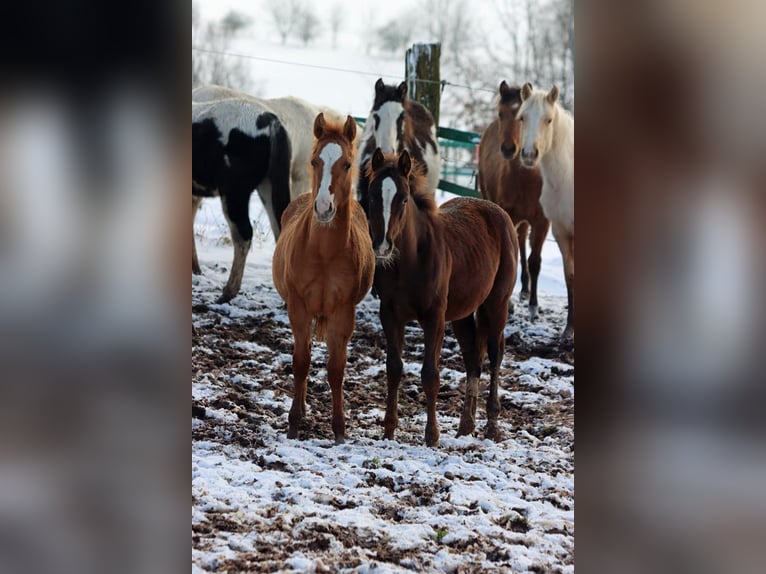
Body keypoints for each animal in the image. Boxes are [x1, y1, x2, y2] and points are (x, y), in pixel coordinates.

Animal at [272, 113, 375, 444]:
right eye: (315, 160)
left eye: (347, 164)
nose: (323, 208)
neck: (324, 254)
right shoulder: (298, 307)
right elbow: (301, 362)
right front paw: (293, 423)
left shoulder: (343, 313)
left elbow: (336, 369)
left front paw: (339, 430)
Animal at [367, 148, 518, 447]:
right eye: (372, 195)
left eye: (403, 198)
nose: (382, 246)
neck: (409, 261)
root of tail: (499, 213)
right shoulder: (389, 314)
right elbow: (393, 368)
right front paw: (388, 430)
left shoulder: (434, 317)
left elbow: (430, 374)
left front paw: (432, 436)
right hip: (462, 313)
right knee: (473, 358)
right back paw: (465, 426)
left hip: (496, 304)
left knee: (495, 354)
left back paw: (491, 425)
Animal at [479, 81, 549, 321]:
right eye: (501, 113)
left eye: (521, 117)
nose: (508, 149)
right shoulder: (507, 215)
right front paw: (508, 306)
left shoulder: (542, 222)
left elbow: (535, 262)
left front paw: (534, 307)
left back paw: (527, 290)